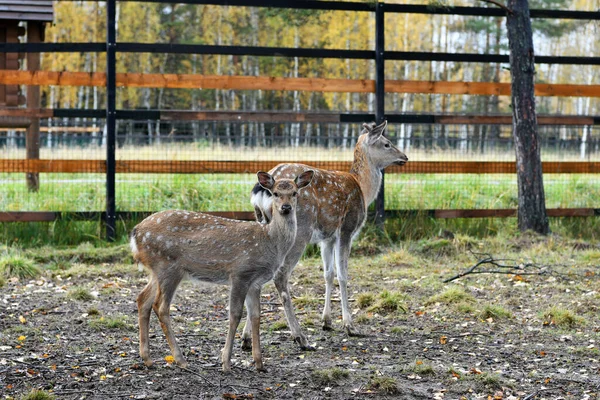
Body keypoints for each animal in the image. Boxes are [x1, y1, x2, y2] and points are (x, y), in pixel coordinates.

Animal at [130, 169, 314, 372]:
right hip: (168, 267)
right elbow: (235, 314)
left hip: (157, 271)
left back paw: (147, 359)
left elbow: (256, 316)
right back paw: (180, 359)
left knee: (142, 299)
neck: (270, 241)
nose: (286, 207)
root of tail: (136, 232)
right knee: (160, 307)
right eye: (275, 193)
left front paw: (259, 364)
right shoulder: (240, 273)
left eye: (295, 193)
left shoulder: (255, 282)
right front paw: (226, 362)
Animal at [244, 120, 408, 348]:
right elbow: (343, 275)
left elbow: (328, 274)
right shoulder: (346, 229)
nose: (405, 157)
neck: (363, 189)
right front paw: (350, 325)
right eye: (386, 143)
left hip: (262, 223)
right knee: (281, 275)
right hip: (299, 231)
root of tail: (262, 192)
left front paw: (327, 321)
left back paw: (246, 339)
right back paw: (300, 336)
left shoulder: (326, 238)